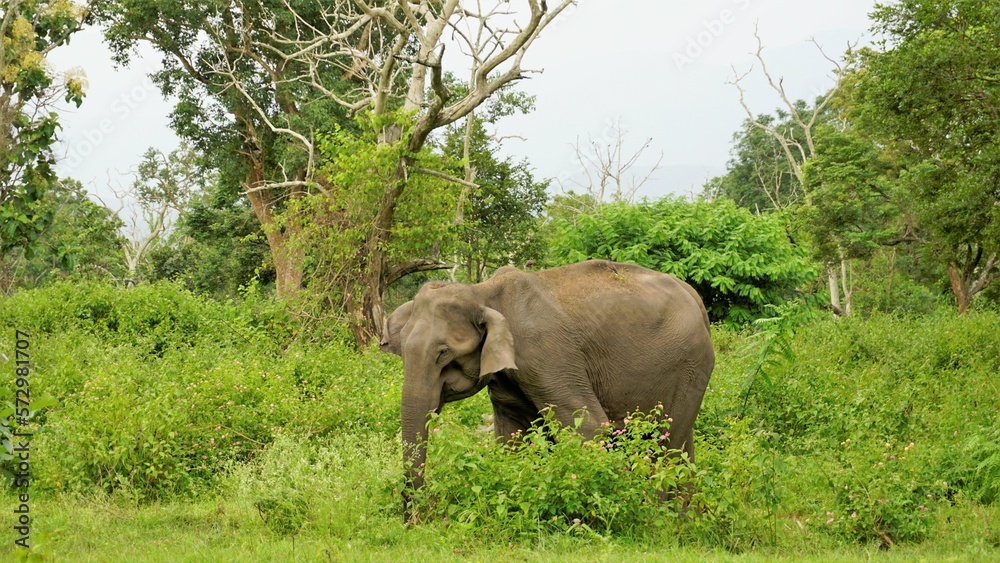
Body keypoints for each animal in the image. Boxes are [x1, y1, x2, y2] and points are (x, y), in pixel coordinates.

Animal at [380, 259, 714, 499]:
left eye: (443, 354)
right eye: (401, 350)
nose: (415, 520)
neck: (485, 292)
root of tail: (695, 298)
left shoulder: (547, 356)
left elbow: (589, 427)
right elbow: (512, 436)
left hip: (691, 366)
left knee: (667, 445)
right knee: (683, 446)